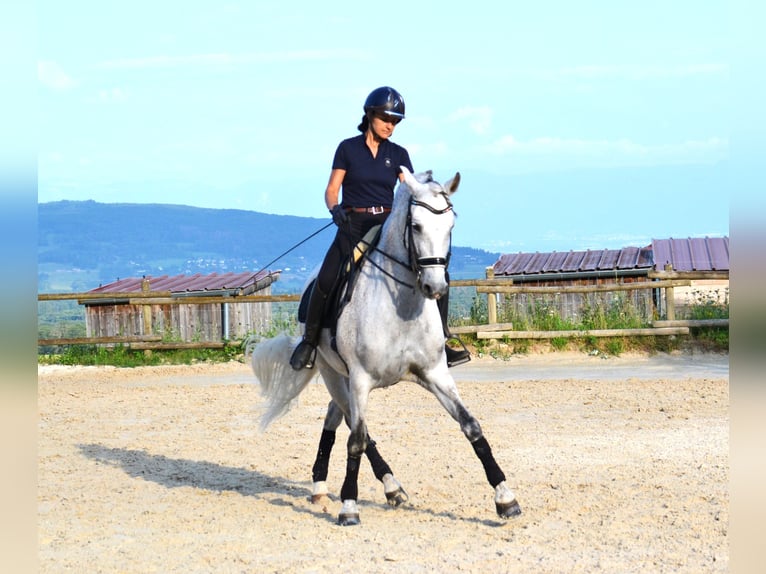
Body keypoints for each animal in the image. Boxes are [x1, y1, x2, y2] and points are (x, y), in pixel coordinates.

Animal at [249, 166, 524, 528]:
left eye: (450, 226)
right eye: (416, 226)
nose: (435, 287)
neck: (402, 307)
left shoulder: (435, 373)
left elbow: (471, 426)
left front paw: (505, 498)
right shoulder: (360, 380)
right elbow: (357, 440)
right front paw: (349, 507)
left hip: (342, 379)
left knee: (335, 418)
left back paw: (335, 486)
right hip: (333, 373)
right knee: (353, 426)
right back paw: (372, 486)